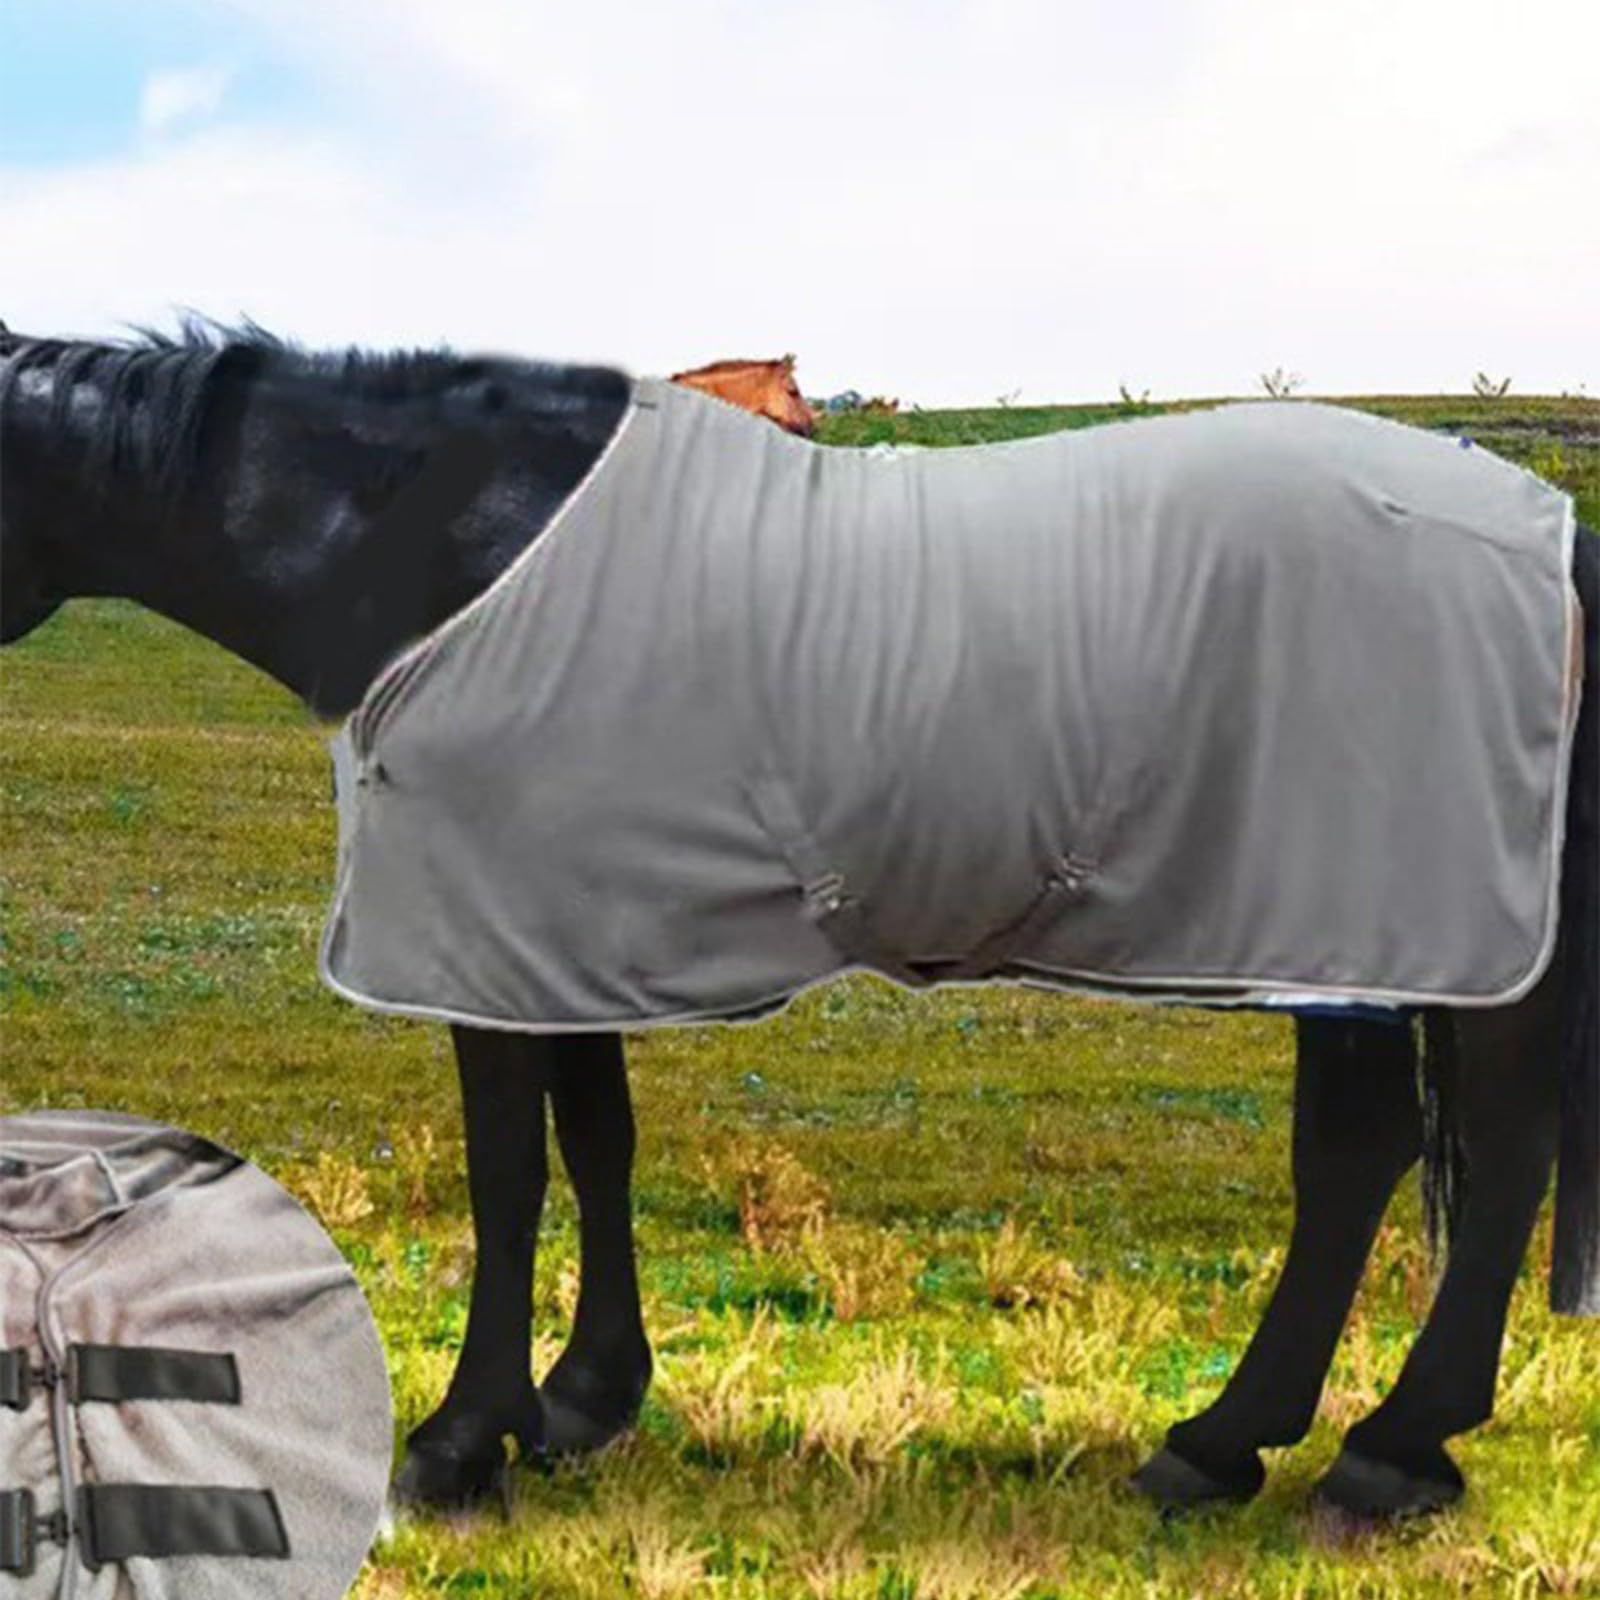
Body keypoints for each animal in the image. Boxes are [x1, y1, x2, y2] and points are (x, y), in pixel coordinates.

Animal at [1, 322, 1594, 1527]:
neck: (450, 544)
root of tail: (1540, 524)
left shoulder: (487, 942)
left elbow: (509, 1173)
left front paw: (457, 1442)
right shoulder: (556, 933)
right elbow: (598, 1143)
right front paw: (581, 1401)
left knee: (1469, 1150)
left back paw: (1380, 1455)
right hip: (1342, 942)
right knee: (1367, 1156)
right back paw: (1233, 1444)